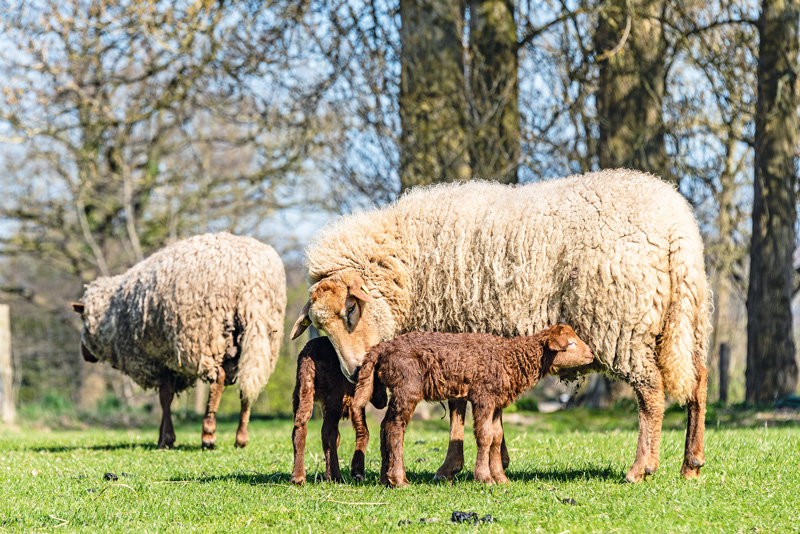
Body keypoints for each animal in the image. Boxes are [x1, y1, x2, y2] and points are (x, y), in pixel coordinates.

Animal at [70, 232, 286, 450]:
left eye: (82, 318)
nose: (84, 354)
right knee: (248, 384)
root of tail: (251, 278)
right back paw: (241, 437)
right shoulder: (170, 361)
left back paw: (208, 434)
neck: (112, 316)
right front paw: (162, 437)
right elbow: (167, 395)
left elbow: (165, 397)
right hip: (259, 338)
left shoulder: (156, 360)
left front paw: (166, 438)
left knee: (218, 379)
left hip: (205, 337)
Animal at [290, 340, 388, 486]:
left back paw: (298, 477)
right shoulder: (355, 400)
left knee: (299, 427)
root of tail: (310, 352)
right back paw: (336, 477)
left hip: (302, 388)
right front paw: (357, 472)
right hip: (334, 394)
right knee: (328, 433)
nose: (384, 402)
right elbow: (363, 431)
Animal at [354, 326, 592, 490]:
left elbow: (497, 436)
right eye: (571, 343)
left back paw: (386, 479)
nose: (591, 354)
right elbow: (484, 436)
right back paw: (399, 480)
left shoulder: (497, 401)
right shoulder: (483, 396)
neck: (511, 359)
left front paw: (501, 479)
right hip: (407, 386)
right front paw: (485, 478)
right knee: (395, 428)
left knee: (385, 425)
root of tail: (382, 348)